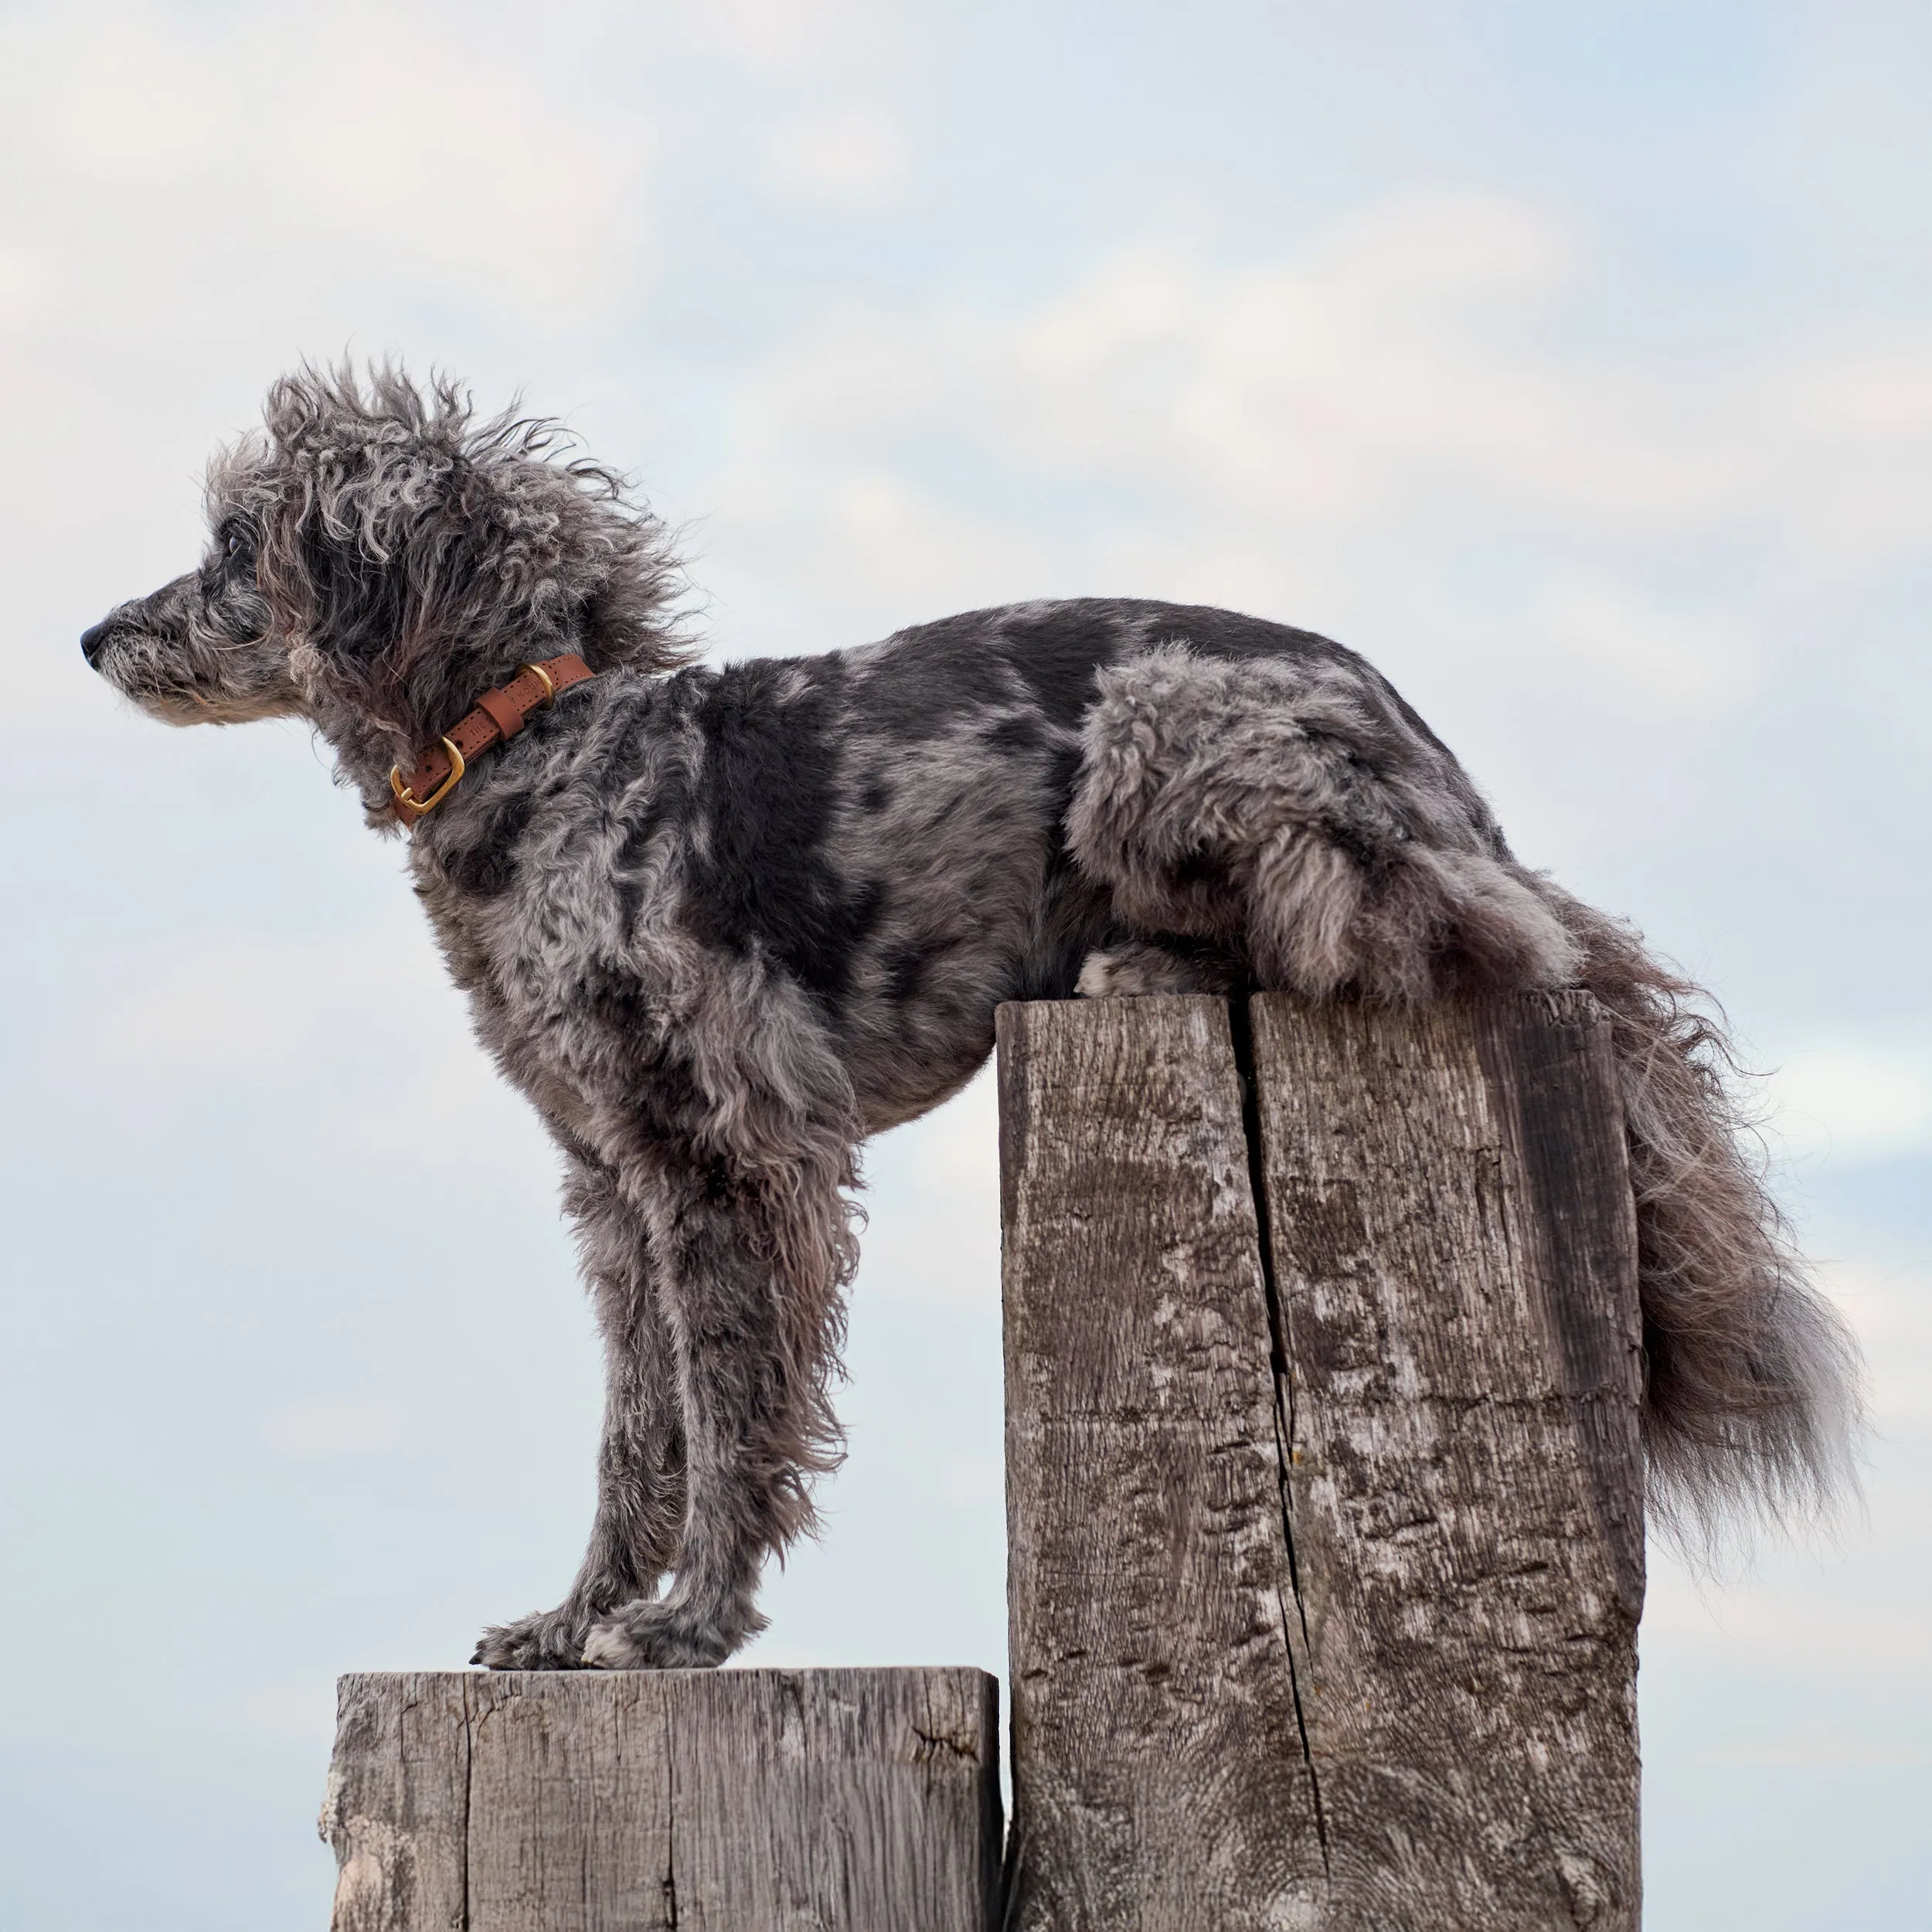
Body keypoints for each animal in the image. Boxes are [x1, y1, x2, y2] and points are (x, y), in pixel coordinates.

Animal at [83, 369, 1862, 1669]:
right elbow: (634, 1430)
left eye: (236, 544)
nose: (97, 635)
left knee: (1429, 939)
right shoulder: (614, 1178)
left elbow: (731, 1410)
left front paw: (687, 1626)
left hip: (1169, 735)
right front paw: (576, 1618)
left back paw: (1148, 965)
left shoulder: (727, 1151)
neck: (545, 745)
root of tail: (1446, 773)